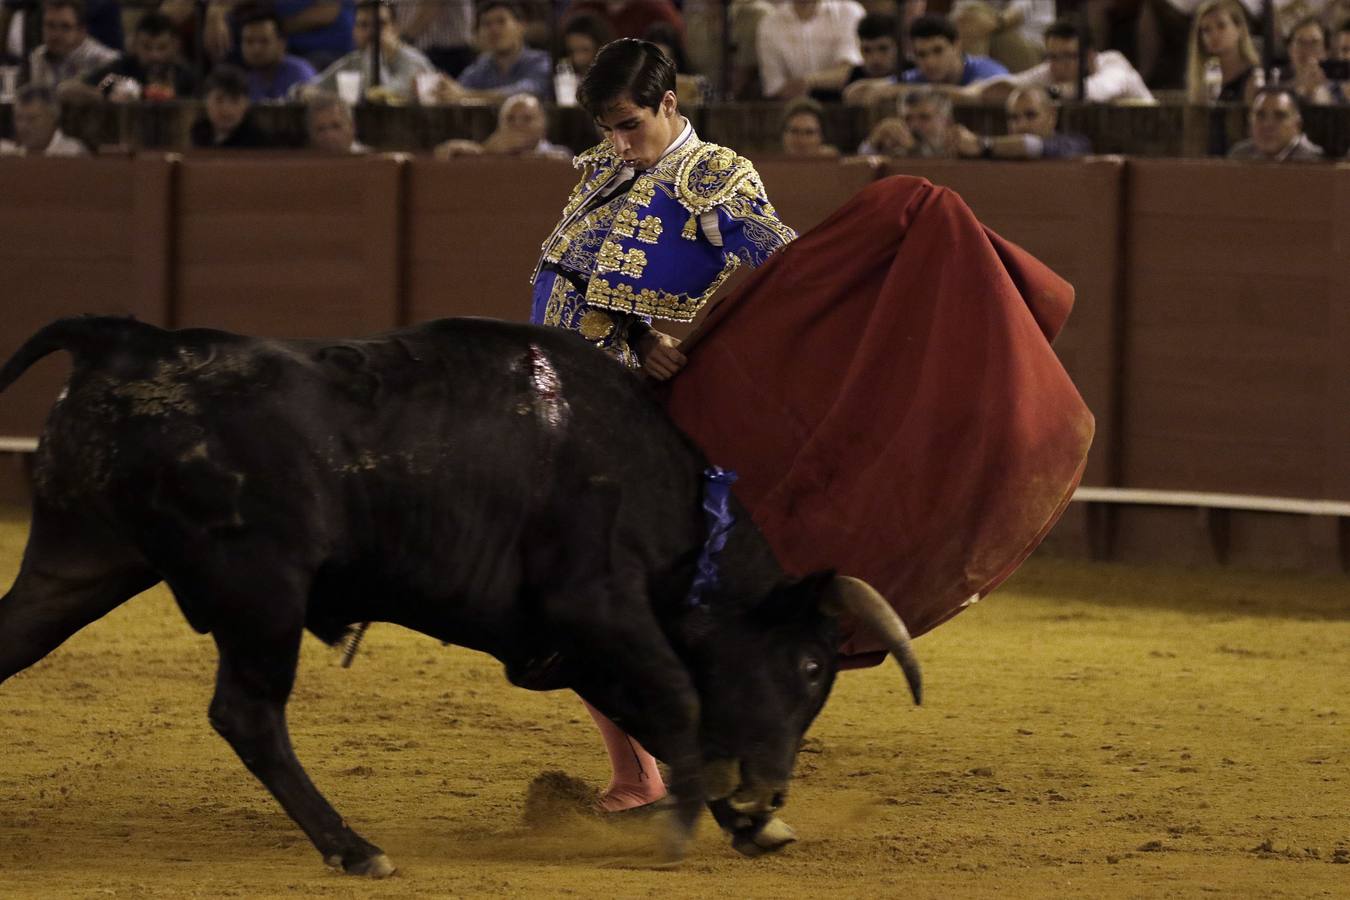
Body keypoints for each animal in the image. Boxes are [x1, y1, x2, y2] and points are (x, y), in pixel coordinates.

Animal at [0, 317, 918, 874]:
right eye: (809, 666)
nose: (771, 791)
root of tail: (130, 342)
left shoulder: (577, 644)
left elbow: (668, 715)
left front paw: (746, 823)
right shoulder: (599, 609)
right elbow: (681, 701)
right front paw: (697, 822)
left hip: (81, 562)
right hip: (258, 590)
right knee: (248, 715)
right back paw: (354, 848)